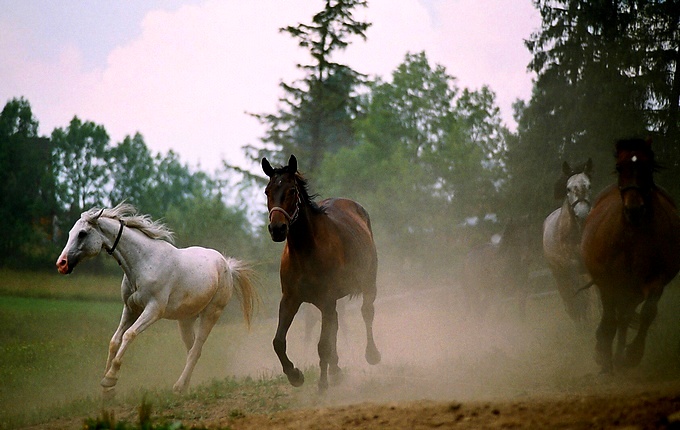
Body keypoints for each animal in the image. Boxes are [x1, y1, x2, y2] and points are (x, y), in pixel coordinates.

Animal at [55, 203, 258, 394]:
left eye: (82, 233)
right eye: (70, 232)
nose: (61, 264)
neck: (144, 262)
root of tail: (227, 265)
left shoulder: (153, 310)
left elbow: (129, 335)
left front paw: (110, 378)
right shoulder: (130, 309)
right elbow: (115, 341)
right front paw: (107, 389)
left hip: (211, 314)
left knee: (196, 349)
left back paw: (178, 386)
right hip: (186, 320)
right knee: (192, 350)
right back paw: (185, 385)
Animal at [260, 155, 380, 394]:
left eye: (292, 191)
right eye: (267, 191)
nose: (277, 229)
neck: (305, 251)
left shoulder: (326, 299)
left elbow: (323, 344)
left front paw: (322, 384)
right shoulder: (290, 300)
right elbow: (278, 342)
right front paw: (295, 375)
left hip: (368, 283)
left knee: (366, 312)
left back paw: (371, 355)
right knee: (335, 326)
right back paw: (335, 370)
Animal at [540, 158, 596, 322]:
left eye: (589, 186)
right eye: (568, 189)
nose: (582, 214)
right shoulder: (572, 269)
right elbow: (580, 301)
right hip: (560, 274)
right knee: (571, 302)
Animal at [580, 139, 680, 372]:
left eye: (648, 167)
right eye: (619, 167)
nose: (634, 209)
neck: (631, 235)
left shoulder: (654, 281)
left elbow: (647, 313)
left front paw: (632, 355)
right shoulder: (608, 281)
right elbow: (610, 318)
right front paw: (602, 353)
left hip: (632, 290)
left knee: (625, 317)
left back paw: (619, 359)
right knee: (617, 316)